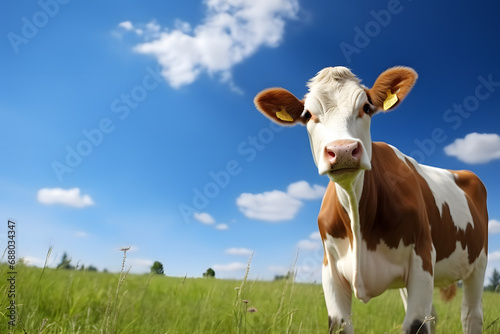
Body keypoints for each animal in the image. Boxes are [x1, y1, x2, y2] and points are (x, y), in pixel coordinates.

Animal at [254, 66, 488, 334]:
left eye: (366, 107)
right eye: (308, 114)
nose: (343, 150)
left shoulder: (422, 257)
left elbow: (416, 325)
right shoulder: (330, 269)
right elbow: (340, 324)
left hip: (478, 264)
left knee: (471, 315)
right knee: (434, 316)